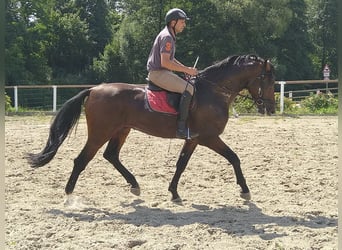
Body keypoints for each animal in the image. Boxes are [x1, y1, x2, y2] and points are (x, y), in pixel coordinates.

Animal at [28, 54, 276, 201]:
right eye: (268, 79)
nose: (271, 108)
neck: (213, 91)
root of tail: (95, 89)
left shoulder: (193, 139)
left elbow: (181, 164)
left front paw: (173, 192)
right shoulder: (208, 137)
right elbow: (234, 158)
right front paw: (245, 190)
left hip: (121, 130)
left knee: (111, 155)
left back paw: (134, 185)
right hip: (100, 133)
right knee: (81, 160)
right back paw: (69, 196)